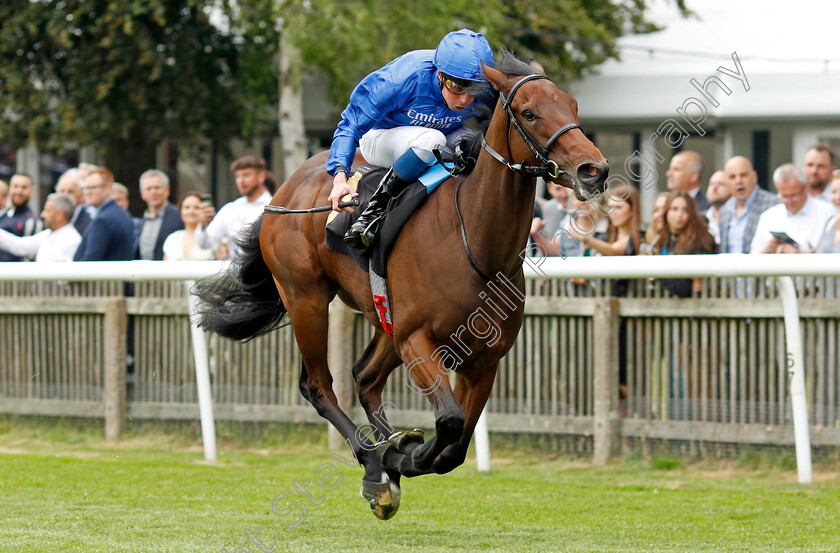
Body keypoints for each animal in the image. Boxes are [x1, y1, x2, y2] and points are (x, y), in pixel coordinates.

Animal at [198, 50, 612, 516]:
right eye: (530, 112)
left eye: (573, 105)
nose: (594, 169)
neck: (474, 241)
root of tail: (280, 196)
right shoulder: (418, 340)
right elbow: (448, 423)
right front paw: (403, 454)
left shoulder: (485, 359)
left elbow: (455, 448)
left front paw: (401, 454)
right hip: (307, 298)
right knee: (318, 385)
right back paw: (374, 459)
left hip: (383, 318)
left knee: (365, 378)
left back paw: (380, 464)